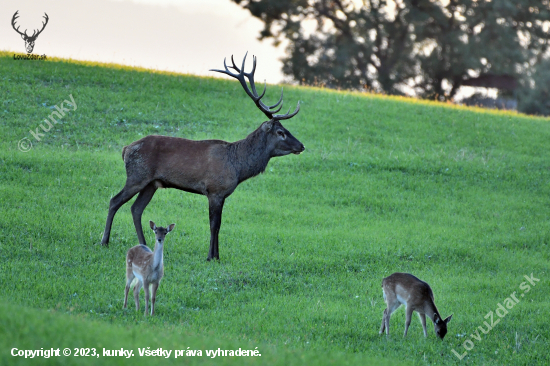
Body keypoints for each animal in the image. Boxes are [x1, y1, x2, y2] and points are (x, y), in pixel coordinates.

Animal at [101, 53, 304, 260]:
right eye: (280, 132)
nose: (301, 146)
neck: (238, 167)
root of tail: (125, 149)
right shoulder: (214, 190)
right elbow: (214, 225)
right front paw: (210, 257)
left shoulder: (222, 195)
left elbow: (219, 225)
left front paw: (217, 256)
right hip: (137, 175)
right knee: (114, 201)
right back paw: (105, 241)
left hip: (151, 183)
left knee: (136, 208)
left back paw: (143, 245)